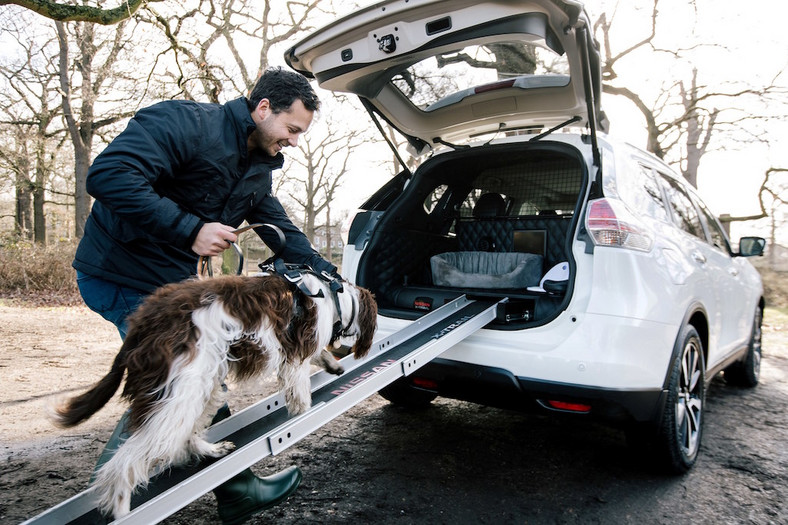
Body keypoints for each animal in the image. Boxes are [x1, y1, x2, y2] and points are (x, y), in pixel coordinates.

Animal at [51, 272, 376, 516]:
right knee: (127, 459)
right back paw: (121, 508)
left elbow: (318, 357)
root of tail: (143, 322)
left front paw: (332, 364)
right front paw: (306, 412)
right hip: (180, 390)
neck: (333, 296)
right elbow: (301, 393)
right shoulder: (295, 355)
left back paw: (210, 450)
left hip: (201, 383)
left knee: (181, 436)